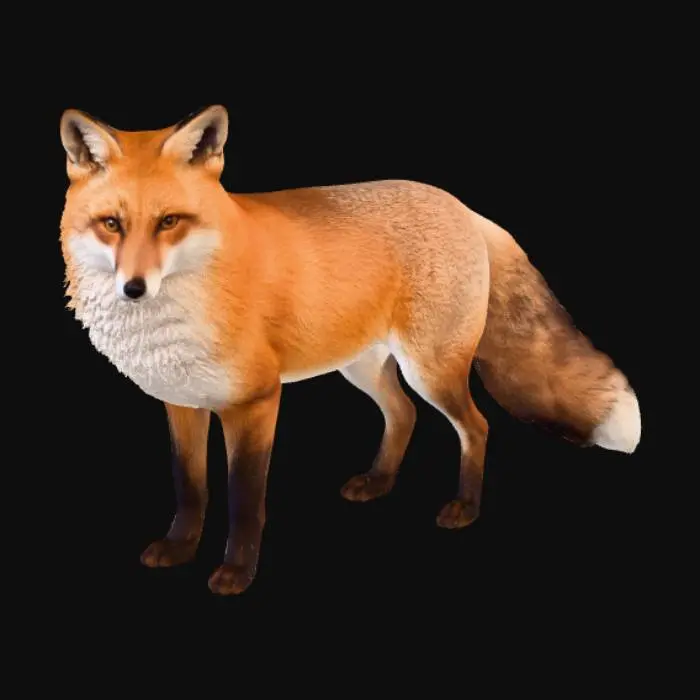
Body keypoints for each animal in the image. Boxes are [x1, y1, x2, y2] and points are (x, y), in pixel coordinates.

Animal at [59, 105, 641, 595]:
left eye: (169, 222)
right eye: (111, 224)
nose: (134, 289)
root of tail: (460, 205)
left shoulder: (256, 402)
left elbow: (245, 498)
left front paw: (237, 573)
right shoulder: (181, 400)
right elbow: (190, 487)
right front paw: (180, 548)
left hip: (431, 369)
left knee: (475, 427)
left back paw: (465, 506)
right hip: (363, 368)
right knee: (404, 414)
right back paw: (380, 482)